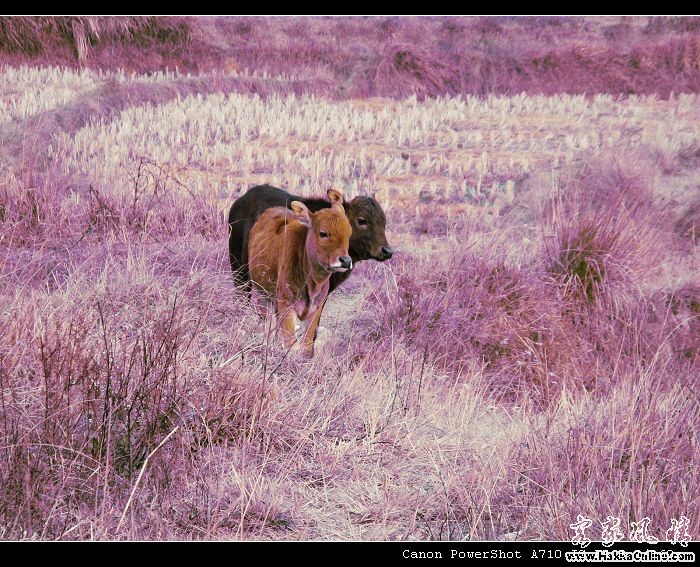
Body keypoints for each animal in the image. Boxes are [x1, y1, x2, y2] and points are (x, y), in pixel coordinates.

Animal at [249, 191, 352, 360]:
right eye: (323, 233)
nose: (345, 260)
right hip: (261, 294)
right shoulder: (285, 304)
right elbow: (292, 345)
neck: (312, 283)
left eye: (349, 234)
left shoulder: (316, 307)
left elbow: (307, 346)